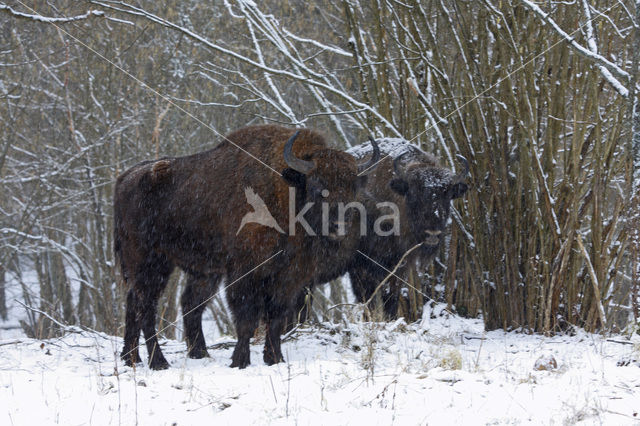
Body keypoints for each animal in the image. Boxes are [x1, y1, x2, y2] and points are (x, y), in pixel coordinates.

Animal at [112, 124, 378, 370]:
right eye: (316, 186)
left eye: (352, 186)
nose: (339, 224)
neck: (285, 192)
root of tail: (126, 178)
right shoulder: (245, 272)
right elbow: (246, 317)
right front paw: (240, 360)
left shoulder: (289, 277)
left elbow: (276, 317)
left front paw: (274, 359)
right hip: (150, 262)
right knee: (146, 307)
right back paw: (158, 361)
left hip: (201, 271)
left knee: (170, 303)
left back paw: (151, 357)